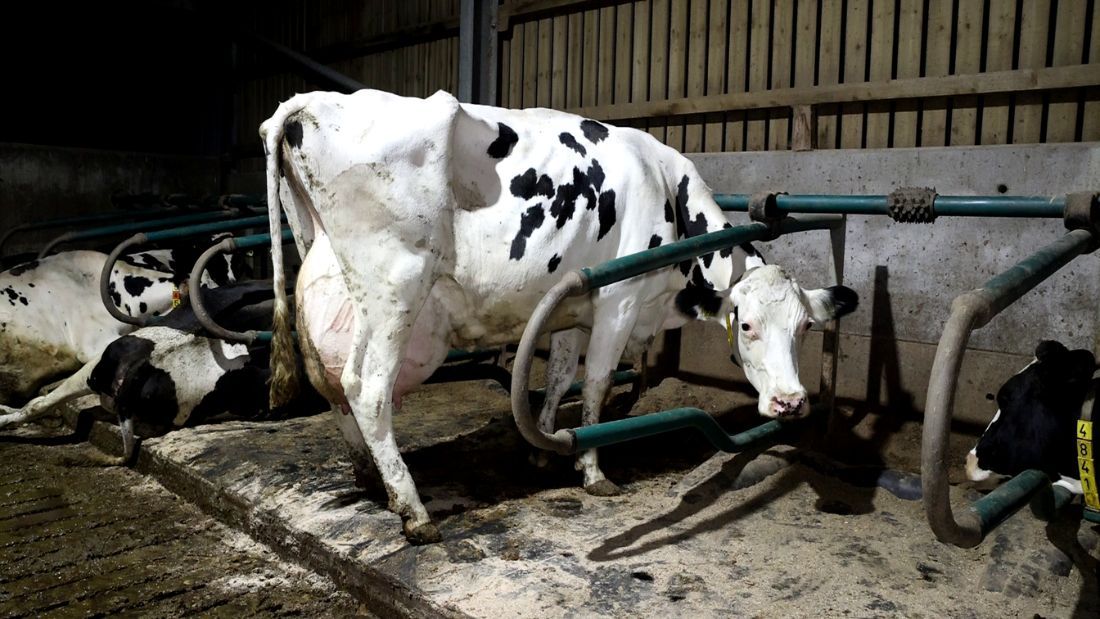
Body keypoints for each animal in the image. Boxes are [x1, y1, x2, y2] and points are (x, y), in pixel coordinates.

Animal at [259, 88, 858, 543]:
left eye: (805, 328)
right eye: (747, 326)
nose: (791, 402)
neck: (666, 189)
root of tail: (310, 102)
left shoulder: (573, 308)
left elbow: (559, 376)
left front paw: (543, 449)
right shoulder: (618, 301)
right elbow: (595, 384)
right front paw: (591, 470)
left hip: (334, 276)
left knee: (333, 381)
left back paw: (369, 478)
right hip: (395, 287)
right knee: (367, 388)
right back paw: (413, 509)